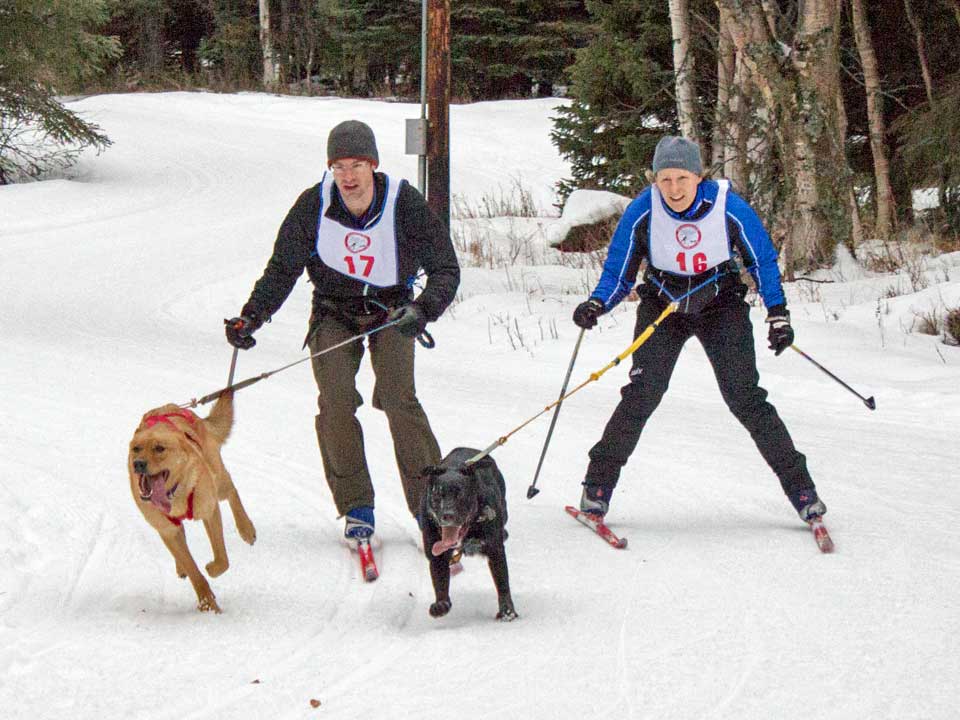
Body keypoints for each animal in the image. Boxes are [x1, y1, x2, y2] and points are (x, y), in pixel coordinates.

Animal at [127, 388, 255, 612]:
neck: (174, 494)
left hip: (217, 478)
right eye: (136, 448)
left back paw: (246, 528)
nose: (138, 464)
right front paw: (207, 602)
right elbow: (192, 567)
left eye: (159, 448)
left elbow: (222, 559)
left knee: (231, 489)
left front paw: (211, 570)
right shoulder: (167, 530)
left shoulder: (209, 510)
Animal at [422, 448, 516, 620]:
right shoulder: (436, 554)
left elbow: (502, 581)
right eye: (437, 494)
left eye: (460, 494)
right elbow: (440, 581)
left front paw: (507, 612)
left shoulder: (495, 549)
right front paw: (441, 604)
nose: (447, 515)